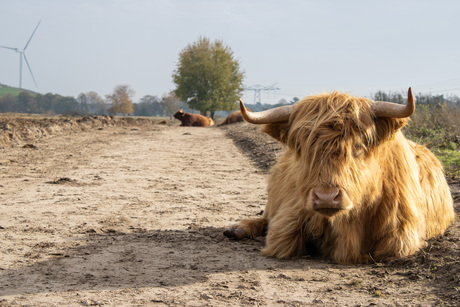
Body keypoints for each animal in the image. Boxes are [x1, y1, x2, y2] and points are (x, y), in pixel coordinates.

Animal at [225, 88, 454, 264]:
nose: (326, 197)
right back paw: (237, 229)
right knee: (264, 217)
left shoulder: (401, 236)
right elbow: (284, 238)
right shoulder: (289, 216)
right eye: (302, 147)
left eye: (359, 145)